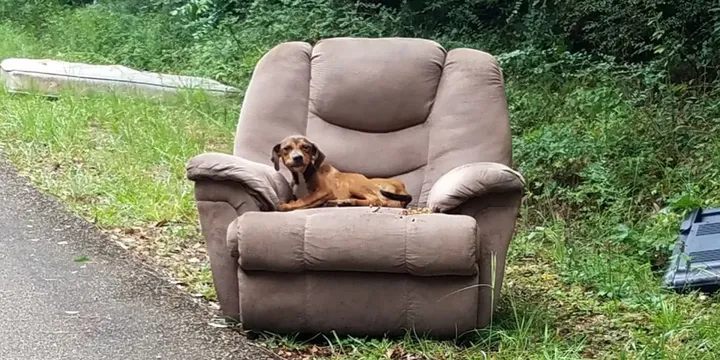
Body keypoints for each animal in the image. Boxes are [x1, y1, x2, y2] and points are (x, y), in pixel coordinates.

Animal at [272, 136, 414, 212]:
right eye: (286, 149)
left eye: (306, 147)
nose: (297, 158)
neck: (303, 174)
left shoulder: (325, 191)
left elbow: (305, 199)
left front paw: (287, 205)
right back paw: (343, 202)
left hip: (354, 183)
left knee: (378, 200)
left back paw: (348, 201)